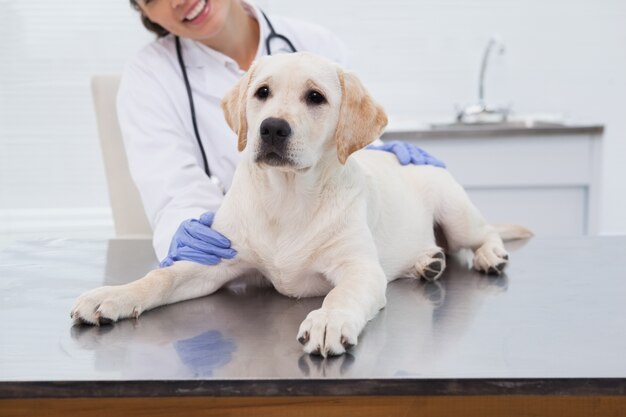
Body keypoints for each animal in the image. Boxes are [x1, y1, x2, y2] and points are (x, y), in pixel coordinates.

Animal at [73, 52, 532, 356]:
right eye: (262, 92)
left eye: (315, 97)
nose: (272, 128)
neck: (287, 198)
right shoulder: (215, 260)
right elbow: (160, 277)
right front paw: (112, 296)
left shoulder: (359, 269)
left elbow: (341, 294)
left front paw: (327, 321)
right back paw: (427, 262)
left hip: (455, 210)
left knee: (483, 233)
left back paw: (489, 255)